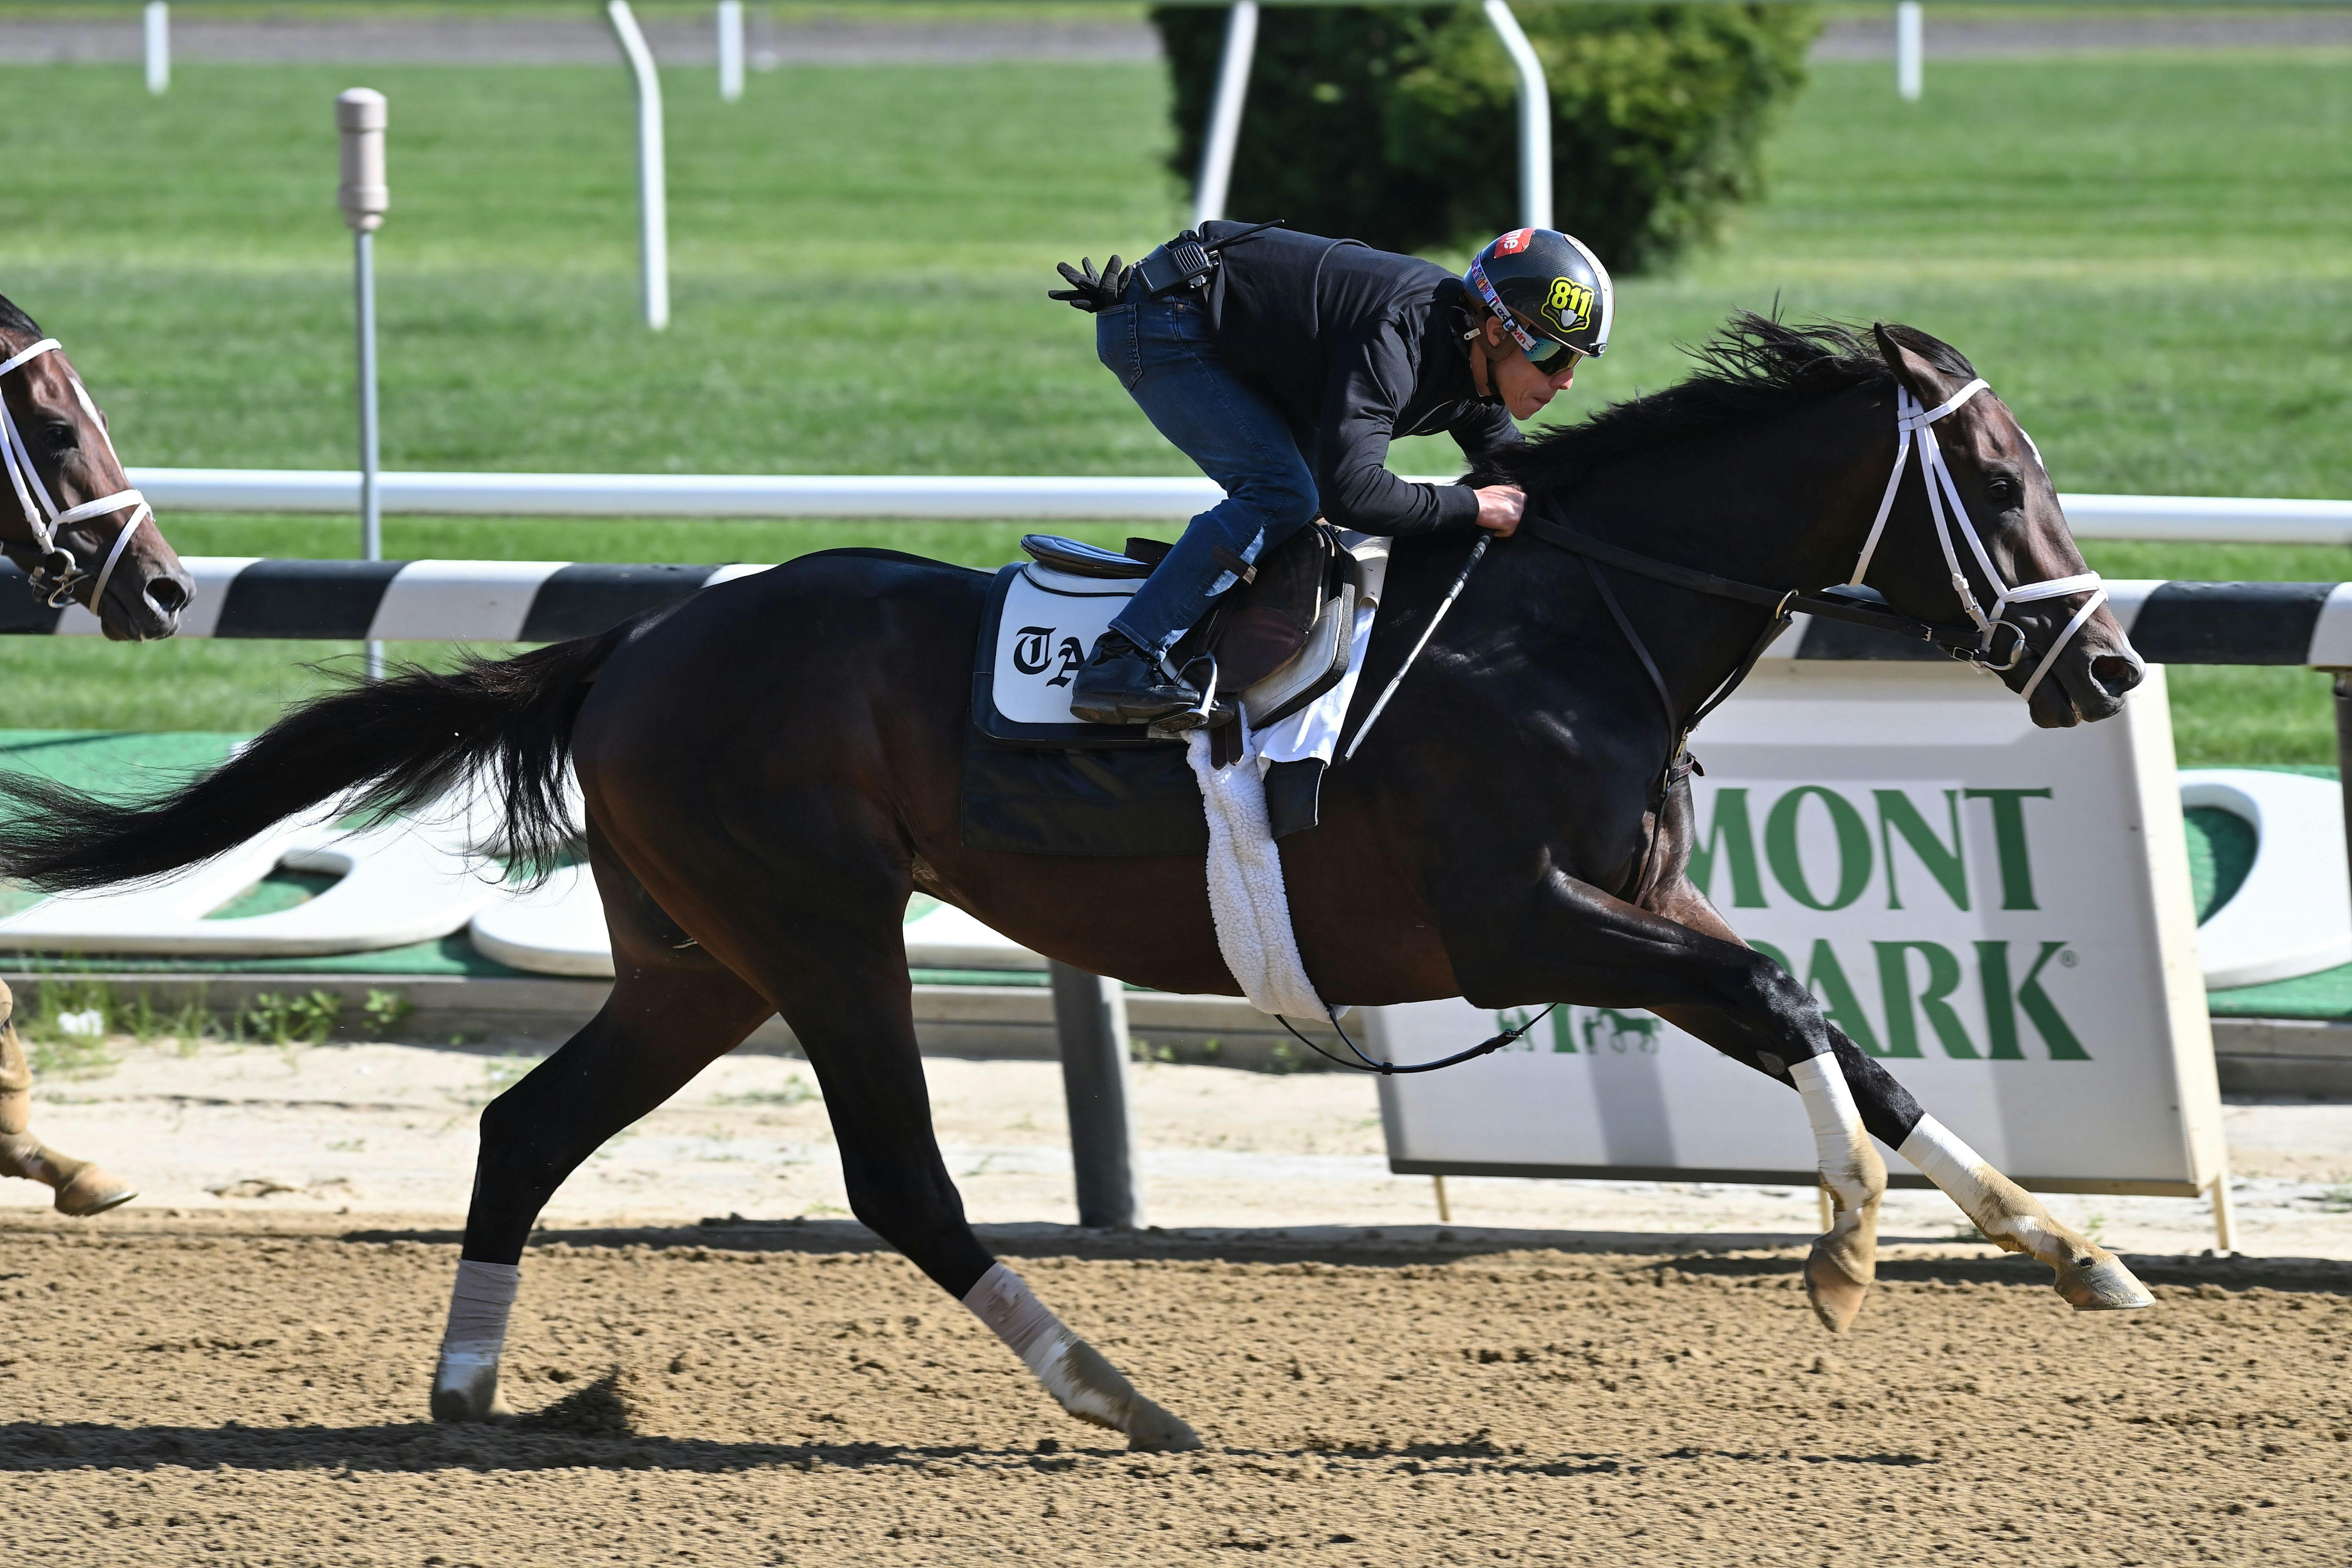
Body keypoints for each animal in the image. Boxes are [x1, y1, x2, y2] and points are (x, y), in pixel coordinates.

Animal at [0, 315, 2154, 1448]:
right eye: (1997, 479)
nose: (2110, 664)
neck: (1566, 621)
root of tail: (636, 640)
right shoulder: (1520, 920)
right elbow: (1793, 1007)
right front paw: (1845, 1250)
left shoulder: (1628, 909)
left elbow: (1851, 1039)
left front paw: (2075, 1253)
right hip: (817, 927)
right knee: (895, 1180)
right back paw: (1115, 1387)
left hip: (698, 954)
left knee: (528, 1124)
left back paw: (468, 1384)